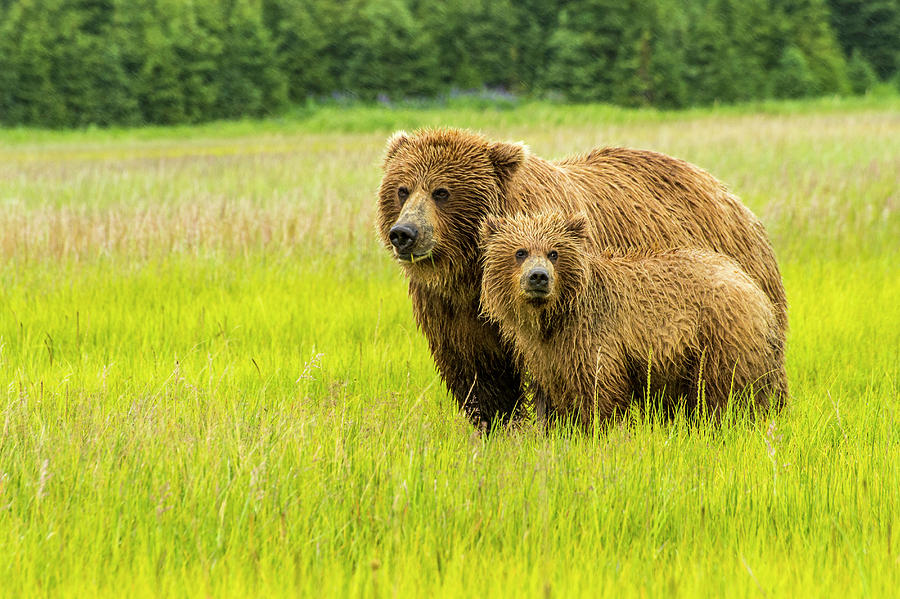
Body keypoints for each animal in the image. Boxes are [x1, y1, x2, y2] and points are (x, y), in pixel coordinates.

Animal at [478, 210, 788, 426]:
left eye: (554, 252)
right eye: (520, 252)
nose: (539, 277)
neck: (554, 317)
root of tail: (752, 285)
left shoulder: (594, 337)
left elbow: (600, 395)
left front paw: (599, 432)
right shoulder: (549, 355)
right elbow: (558, 396)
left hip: (719, 337)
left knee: (725, 395)